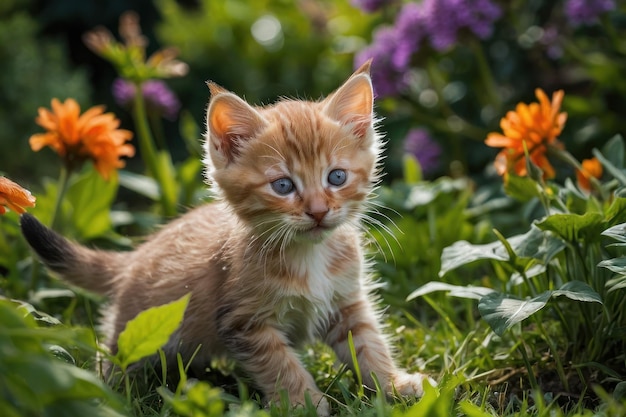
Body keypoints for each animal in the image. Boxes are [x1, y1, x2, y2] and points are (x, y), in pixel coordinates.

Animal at [19, 61, 432, 412]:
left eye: (337, 177)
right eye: (283, 186)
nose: (317, 211)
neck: (308, 254)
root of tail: (136, 257)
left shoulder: (347, 302)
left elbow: (368, 343)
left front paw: (392, 384)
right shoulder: (244, 322)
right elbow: (281, 363)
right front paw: (304, 401)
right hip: (137, 330)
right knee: (116, 356)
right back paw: (107, 395)